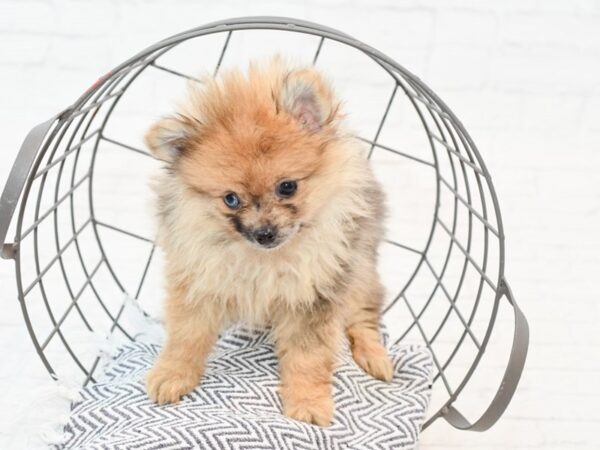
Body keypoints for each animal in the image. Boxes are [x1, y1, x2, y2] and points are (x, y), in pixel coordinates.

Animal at [145, 59, 394, 426]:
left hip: (359, 269)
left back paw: (375, 357)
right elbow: (186, 337)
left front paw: (307, 403)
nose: (265, 233)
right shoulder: (200, 281)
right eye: (231, 199)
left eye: (287, 187)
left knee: (364, 316)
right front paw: (171, 375)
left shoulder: (314, 294)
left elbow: (308, 356)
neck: (263, 260)